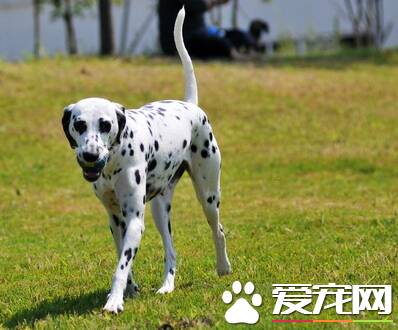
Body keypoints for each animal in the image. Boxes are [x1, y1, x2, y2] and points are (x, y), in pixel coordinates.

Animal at [61, 6, 232, 314]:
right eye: (78, 124)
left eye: (105, 124)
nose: (90, 155)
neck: (114, 161)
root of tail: (190, 105)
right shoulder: (116, 219)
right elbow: (122, 259)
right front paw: (128, 289)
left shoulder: (134, 221)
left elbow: (120, 267)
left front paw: (114, 301)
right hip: (159, 211)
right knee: (171, 251)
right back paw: (167, 285)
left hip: (208, 197)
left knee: (219, 230)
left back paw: (223, 267)